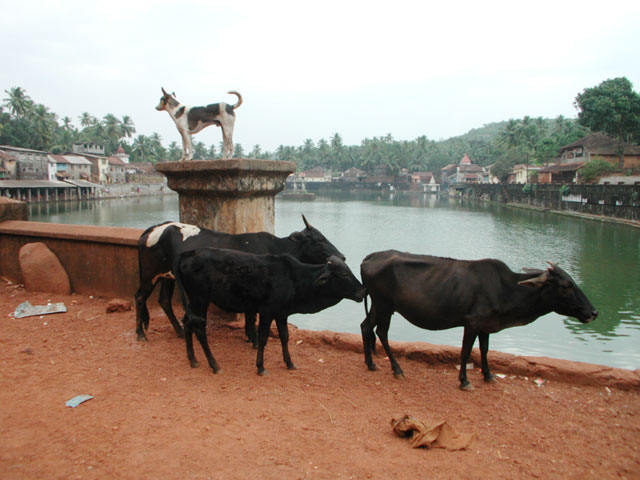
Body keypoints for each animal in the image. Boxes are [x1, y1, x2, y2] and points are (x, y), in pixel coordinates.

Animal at [134, 216, 344, 344]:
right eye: (319, 240)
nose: (341, 256)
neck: (276, 247)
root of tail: (155, 228)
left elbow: (250, 316)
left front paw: (250, 337)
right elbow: (252, 317)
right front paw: (254, 339)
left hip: (167, 277)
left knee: (164, 301)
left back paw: (178, 331)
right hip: (149, 275)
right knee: (139, 297)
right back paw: (140, 334)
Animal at [172, 249, 368, 376]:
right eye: (344, 274)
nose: (363, 291)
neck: (296, 278)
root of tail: (188, 253)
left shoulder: (282, 314)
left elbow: (285, 337)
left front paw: (290, 363)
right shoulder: (267, 312)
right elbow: (263, 339)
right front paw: (260, 367)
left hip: (194, 301)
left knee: (187, 322)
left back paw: (193, 359)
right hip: (200, 299)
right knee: (199, 329)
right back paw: (214, 365)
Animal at [358, 251, 596, 390]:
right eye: (565, 285)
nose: (593, 312)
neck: (507, 289)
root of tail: (368, 258)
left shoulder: (486, 326)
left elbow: (484, 350)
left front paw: (489, 375)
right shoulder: (472, 323)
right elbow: (465, 352)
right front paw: (464, 380)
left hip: (379, 306)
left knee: (366, 327)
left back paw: (371, 363)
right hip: (385, 305)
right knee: (381, 332)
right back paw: (397, 369)